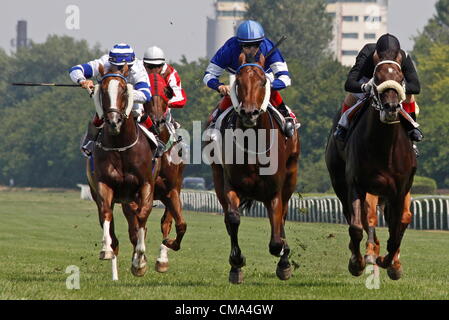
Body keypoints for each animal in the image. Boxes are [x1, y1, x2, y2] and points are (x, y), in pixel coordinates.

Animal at [86, 63, 157, 278]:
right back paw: (115, 274)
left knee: (136, 226)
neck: (120, 146)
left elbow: (142, 218)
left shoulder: (145, 185)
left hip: (131, 199)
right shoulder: (104, 185)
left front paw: (140, 261)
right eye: (102, 91)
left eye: (124, 90)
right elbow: (107, 214)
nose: (114, 121)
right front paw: (105, 249)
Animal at [207, 53, 300, 284]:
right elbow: (233, 219)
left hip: (291, 177)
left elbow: (276, 237)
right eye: (238, 83)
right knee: (228, 218)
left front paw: (284, 259)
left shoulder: (274, 191)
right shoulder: (230, 185)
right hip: (217, 177)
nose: (249, 113)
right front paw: (236, 263)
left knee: (282, 216)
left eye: (263, 81)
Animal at [326, 57, 416, 280]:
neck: (383, 147)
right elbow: (357, 227)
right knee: (356, 217)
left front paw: (390, 263)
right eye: (377, 78)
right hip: (341, 184)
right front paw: (357, 263)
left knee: (398, 220)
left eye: (401, 78)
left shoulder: (399, 190)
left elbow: (396, 229)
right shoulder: (356, 185)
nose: (391, 107)